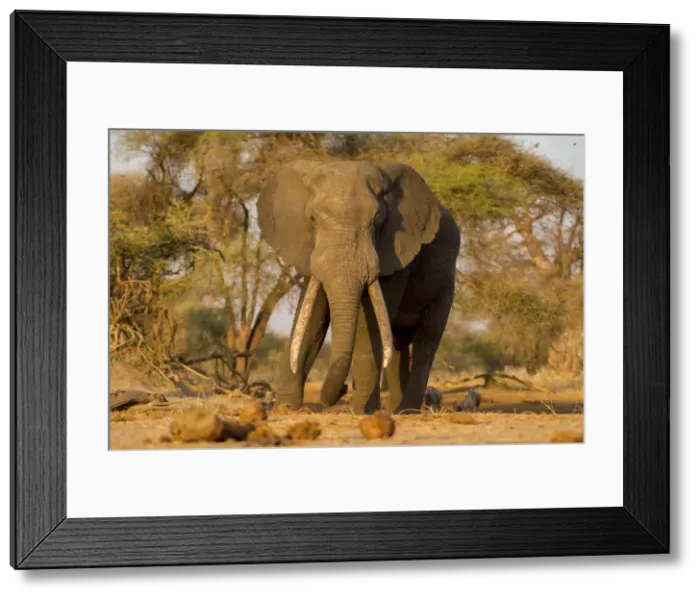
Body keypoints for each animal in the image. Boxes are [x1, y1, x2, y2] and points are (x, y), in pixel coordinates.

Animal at [257, 159, 461, 415]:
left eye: (377, 220)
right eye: (312, 219)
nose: (344, 388)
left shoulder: (396, 253)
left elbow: (369, 322)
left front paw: (362, 412)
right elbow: (312, 319)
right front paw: (284, 409)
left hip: (446, 284)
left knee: (427, 337)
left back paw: (406, 411)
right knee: (398, 341)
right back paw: (394, 409)